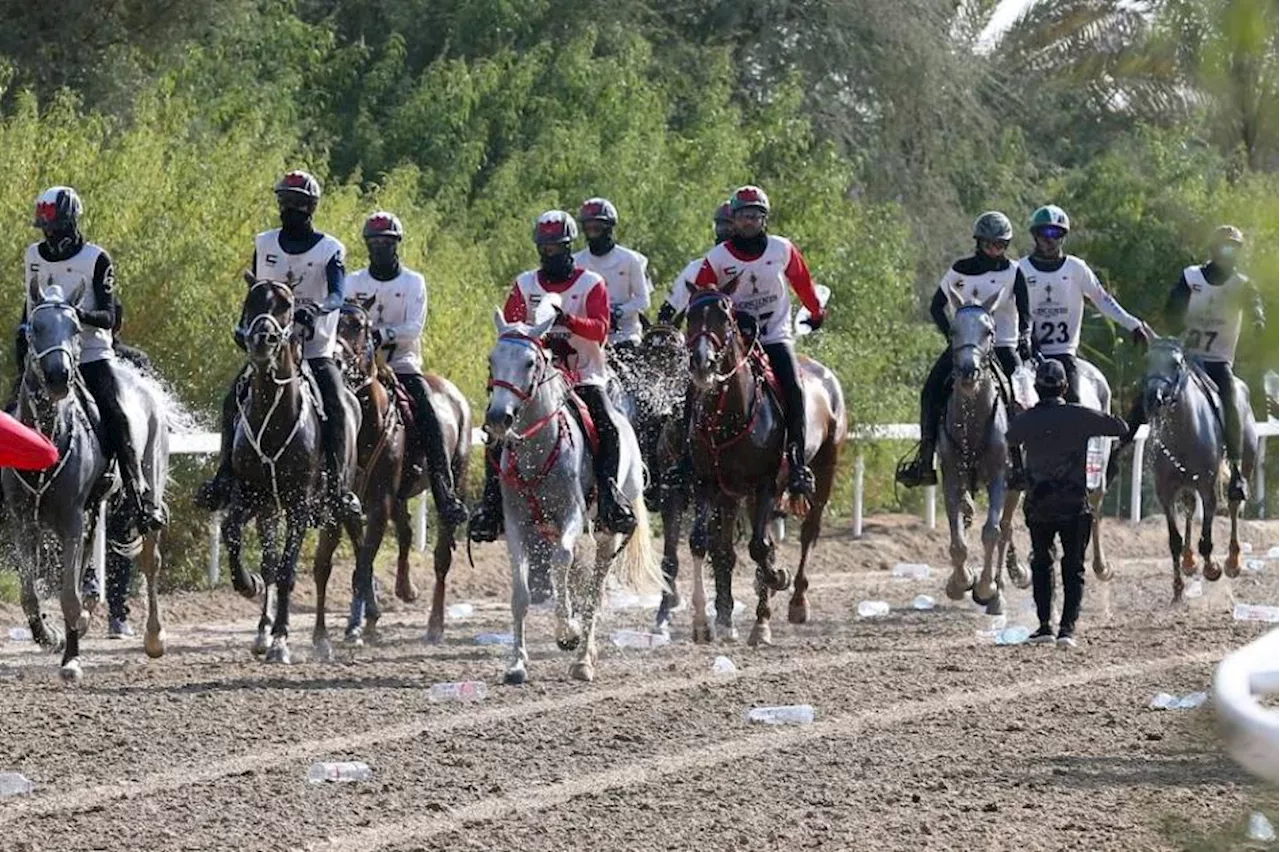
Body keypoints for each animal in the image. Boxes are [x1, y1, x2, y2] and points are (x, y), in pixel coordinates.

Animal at [3, 275, 172, 680]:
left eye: (76, 328)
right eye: (35, 327)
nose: (58, 376)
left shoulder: (71, 518)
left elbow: (68, 595)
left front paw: (71, 660)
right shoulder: (24, 519)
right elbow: (30, 592)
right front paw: (49, 636)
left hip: (148, 487)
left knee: (150, 559)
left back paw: (154, 637)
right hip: (94, 510)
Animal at [221, 275, 358, 660]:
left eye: (287, 305)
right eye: (252, 301)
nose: (262, 339)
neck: (273, 416)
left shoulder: (299, 504)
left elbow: (287, 571)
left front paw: (282, 639)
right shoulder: (251, 496)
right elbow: (232, 535)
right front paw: (247, 585)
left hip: (334, 510)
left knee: (323, 567)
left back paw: (321, 638)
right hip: (270, 508)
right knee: (271, 562)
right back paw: (263, 630)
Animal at [314, 296, 476, 644]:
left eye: (359, 326)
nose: (336, 359)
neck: (365, 425)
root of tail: (455, 395)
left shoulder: (379, 504)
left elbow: (362, 566)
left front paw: (361, 624)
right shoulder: (351, 505)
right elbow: (354, 561)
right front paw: (356, 624)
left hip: (454, 479)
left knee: (441, 557)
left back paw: (435, 625)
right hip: (401, 495)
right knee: (405, 533)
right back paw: (405, 588)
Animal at [686, 285, 844, 644]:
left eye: (725, 316)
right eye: (690, 316)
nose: (702, 362)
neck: (730, 415)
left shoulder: (766, 483)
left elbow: (760, 548)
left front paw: (769, 599)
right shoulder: (708, 484)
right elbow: (703, 543)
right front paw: (705, 622)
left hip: (825, 466)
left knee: (809, 532)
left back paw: (796, 600)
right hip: (735, 495)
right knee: (730, 549)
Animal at [1136, 335, 1254, 601]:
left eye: (1176, 364)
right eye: (1147, 359)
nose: (1153, 397)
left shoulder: (1207, 486)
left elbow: (1207, 538)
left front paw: (1212, 569)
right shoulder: (1165, 491)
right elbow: (1174, 540)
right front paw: (1177, 588)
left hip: (1245, 463)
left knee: (1234, 504)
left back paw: (1232, 561)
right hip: (1186, 484)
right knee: (1190, 509)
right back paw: (1189, 562)